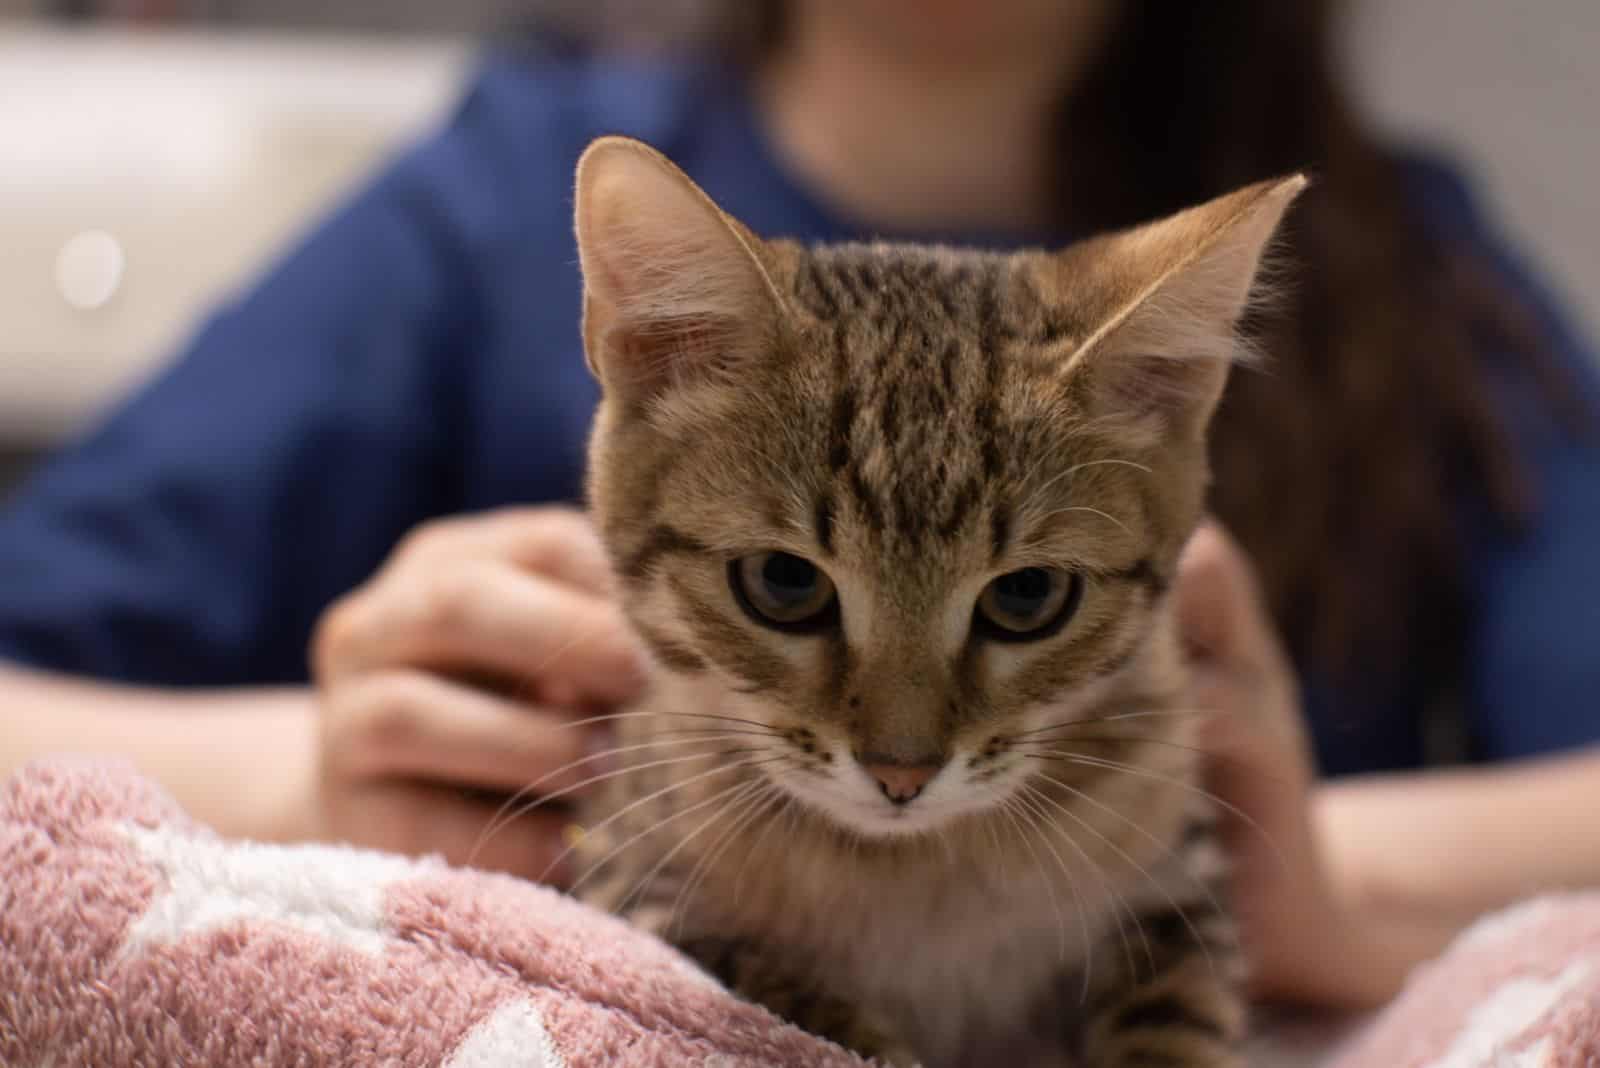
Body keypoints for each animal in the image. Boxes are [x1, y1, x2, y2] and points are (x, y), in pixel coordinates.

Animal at [563, 135, 1299, 1068]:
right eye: (783, 583)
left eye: (1027, 595)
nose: (901, 774)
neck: (917, 879)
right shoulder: (630, 881)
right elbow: (784, 996)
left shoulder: (1181, 889)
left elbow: (1177, 1025)